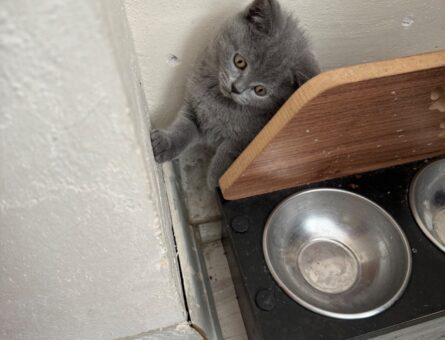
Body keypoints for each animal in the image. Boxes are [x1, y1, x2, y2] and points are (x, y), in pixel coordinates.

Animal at [151, 0, 318, 187]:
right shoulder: (194, 108)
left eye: (260, 90)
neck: (220, 102)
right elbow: (182, 128)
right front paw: (164, 143)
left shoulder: (247, 137)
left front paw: (216, 182)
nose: (236, 88)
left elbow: (227, 154)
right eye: (240, 62)